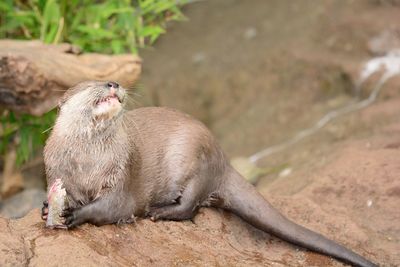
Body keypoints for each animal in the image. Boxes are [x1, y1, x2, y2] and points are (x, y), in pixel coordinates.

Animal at [42, 80, 376, 266]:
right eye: (91, 84)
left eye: (108, 80)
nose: (113, 82)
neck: (87, 161)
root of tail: (222, 158)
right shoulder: (55, 169)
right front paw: (48, 207)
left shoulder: (121, 173)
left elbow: (112, 206)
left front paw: (74, 214)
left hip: (194, 159)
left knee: (192, 205)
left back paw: (160, 211)